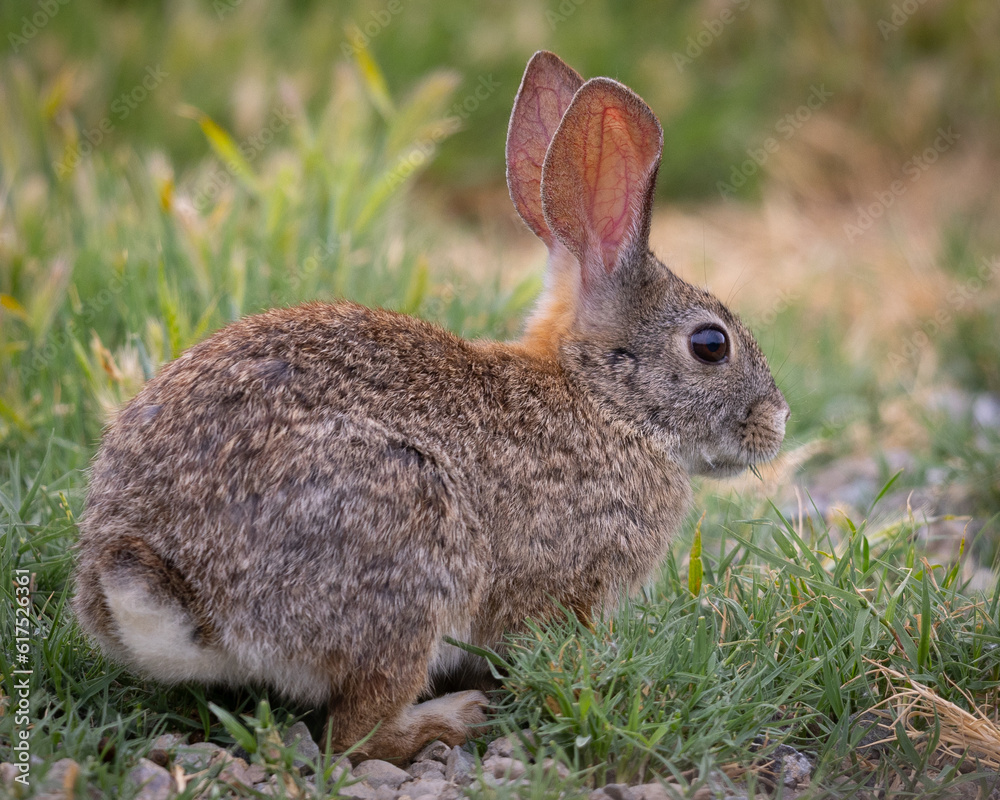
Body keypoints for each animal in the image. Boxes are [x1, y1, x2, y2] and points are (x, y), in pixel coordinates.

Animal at [73, 51, 789, 763]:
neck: (601, 400)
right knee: (353, 735)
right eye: (710, 345)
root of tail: (182, 599)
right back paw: (456, 719)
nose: (778, 421)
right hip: (413, 558)